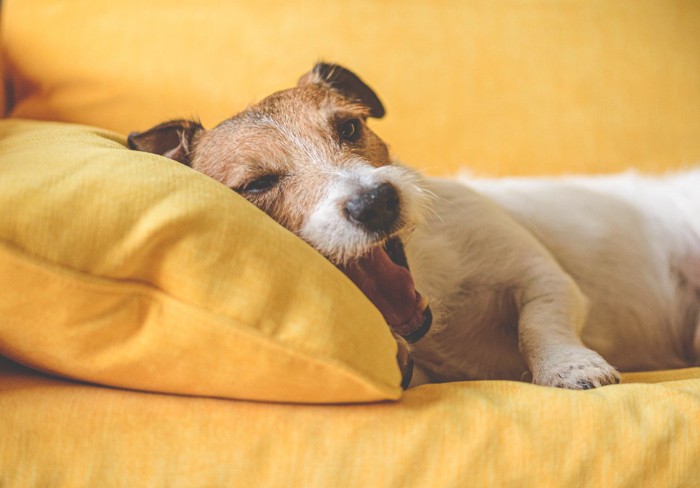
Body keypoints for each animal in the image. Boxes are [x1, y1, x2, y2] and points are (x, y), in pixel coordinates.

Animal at [130, 62, 700, 388]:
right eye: (256, 184)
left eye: (349, 127)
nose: (377, 203)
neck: (435, 288)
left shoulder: (543, 278)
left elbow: (540, 323)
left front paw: (570, 367)